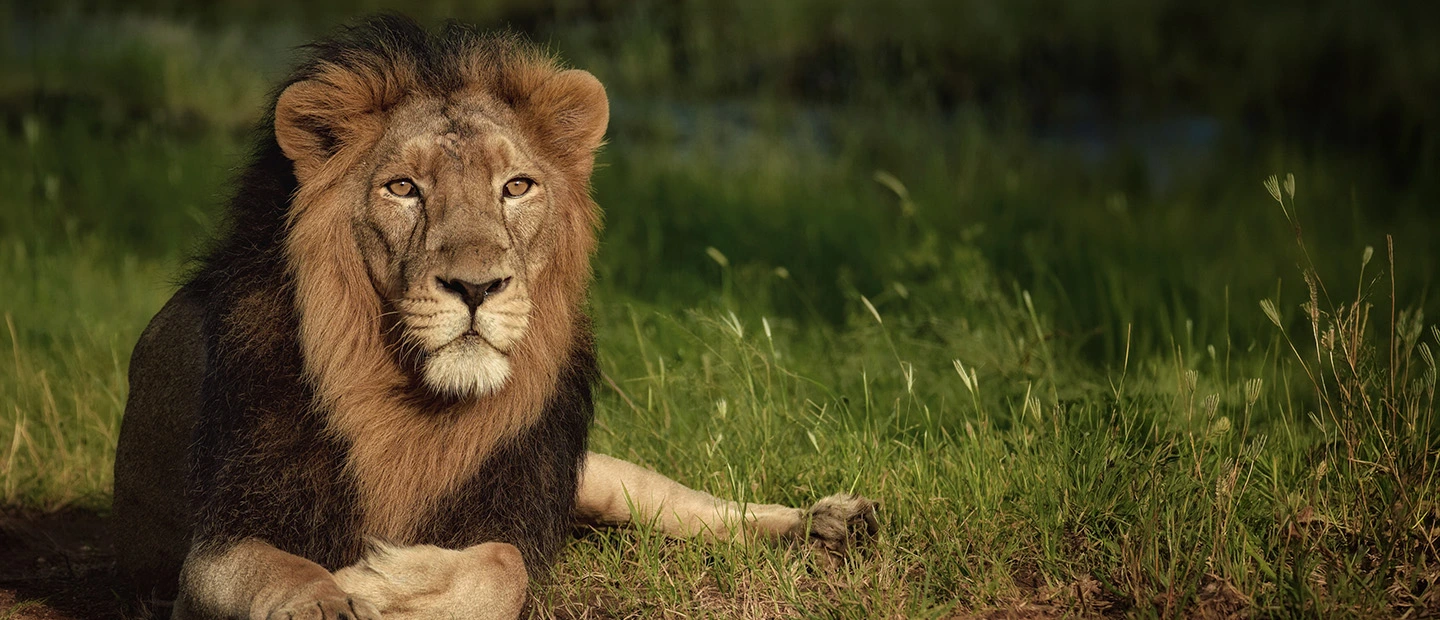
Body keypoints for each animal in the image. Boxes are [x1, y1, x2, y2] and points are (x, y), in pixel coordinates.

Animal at [110, 15, 877, 620]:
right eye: (403, 188)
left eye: (516, 187)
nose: (476, 287)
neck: (415, 407)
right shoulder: (211, 551)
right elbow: (290, 575)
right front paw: (337, 595)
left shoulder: (515, 500)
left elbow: (502, 563)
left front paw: (378, 580)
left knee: (683, 504)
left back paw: (830, 521)